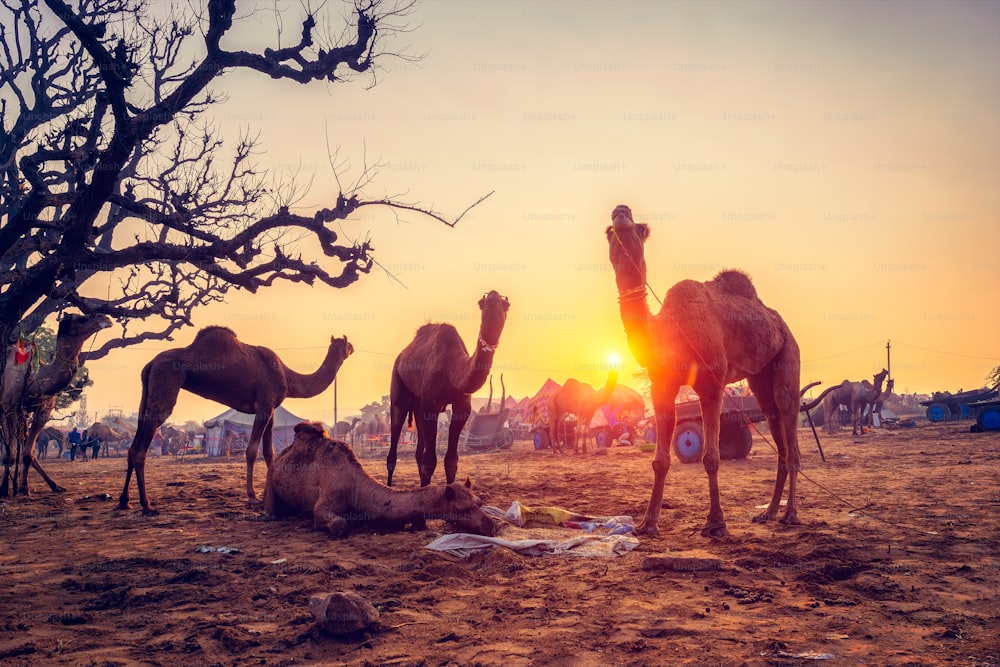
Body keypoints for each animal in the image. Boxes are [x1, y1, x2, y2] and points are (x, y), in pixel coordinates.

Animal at [0, 314, 112, 496]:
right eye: (81, 319)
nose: (106, 318)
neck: (35, 378)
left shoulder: (43, 411)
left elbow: (27, 453)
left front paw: (25, 488)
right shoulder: (8, 408)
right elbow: (9, 453)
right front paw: (4, 490)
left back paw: (53, 485)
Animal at [117, 326, 354, 516]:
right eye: (346, 343)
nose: (352, 347)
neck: (288, 377)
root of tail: (150, 364)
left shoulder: (271, 409)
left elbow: (270, 452)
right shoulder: (263, 406)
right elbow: (252, 450)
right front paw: (252, 496)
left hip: (146, 396)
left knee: (132, 447)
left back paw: (124, 502)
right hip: (165, 382)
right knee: (140, 448)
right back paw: (147, 505)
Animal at [264, 426, 498, 540]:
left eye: (479, 502)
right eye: (460, 509)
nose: (491, 525)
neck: (356, 489)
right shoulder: (324, 502)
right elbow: (339, 524)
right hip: (270, 479)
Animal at [386, 290, 512, 488]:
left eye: (506, 305)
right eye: (481, 303)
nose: (493, 298)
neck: (452, 369)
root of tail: (401, 355)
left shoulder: (462, 407)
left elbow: (451, 461)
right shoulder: (431, 405)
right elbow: (430, 462)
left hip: (418, 402)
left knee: (418, 451)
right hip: (398, 383)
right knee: (395, 436)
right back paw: (388, 486)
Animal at [600, 206, 804, 540]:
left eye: (641, 229)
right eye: (608, 231)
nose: (621, 210)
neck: (668, 331)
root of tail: (779, 321)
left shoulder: (710, 384)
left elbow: (710, 457)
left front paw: (715, 522)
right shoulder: (662, 386)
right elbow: (660, 460)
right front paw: (648, 523)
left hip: (789, 352)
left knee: (788, 413)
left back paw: (791, 515)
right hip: (760, 378)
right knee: (775, 424)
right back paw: (769, 512)